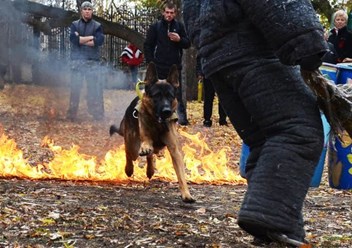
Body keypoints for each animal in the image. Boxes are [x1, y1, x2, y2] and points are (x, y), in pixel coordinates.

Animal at [109, 62, 195, 203]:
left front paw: (186, 194)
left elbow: (181, 175)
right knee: (129, 153)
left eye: (170, 96)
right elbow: (145, 144)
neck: (158, 124)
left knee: (149, 156)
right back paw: (129, 169)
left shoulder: (175, 151)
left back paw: (150, 170)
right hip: (132, 143)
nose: (166, 111)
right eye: (156, 96)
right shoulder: (145, 138)